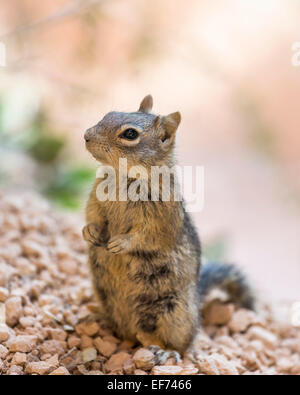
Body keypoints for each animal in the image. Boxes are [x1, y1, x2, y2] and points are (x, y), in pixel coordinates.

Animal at [82, 95, 253, 362]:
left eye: (130, 134)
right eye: (109, 113)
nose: (86, 136)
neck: (123, 176)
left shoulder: (161, 218)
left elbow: (147, 236)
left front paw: (120, 243)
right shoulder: (96, 200)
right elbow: (93, 216)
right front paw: (89, 232)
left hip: (173, 314)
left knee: (182, 344)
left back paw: (162, 350)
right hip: (105, 297)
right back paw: (97, 319)